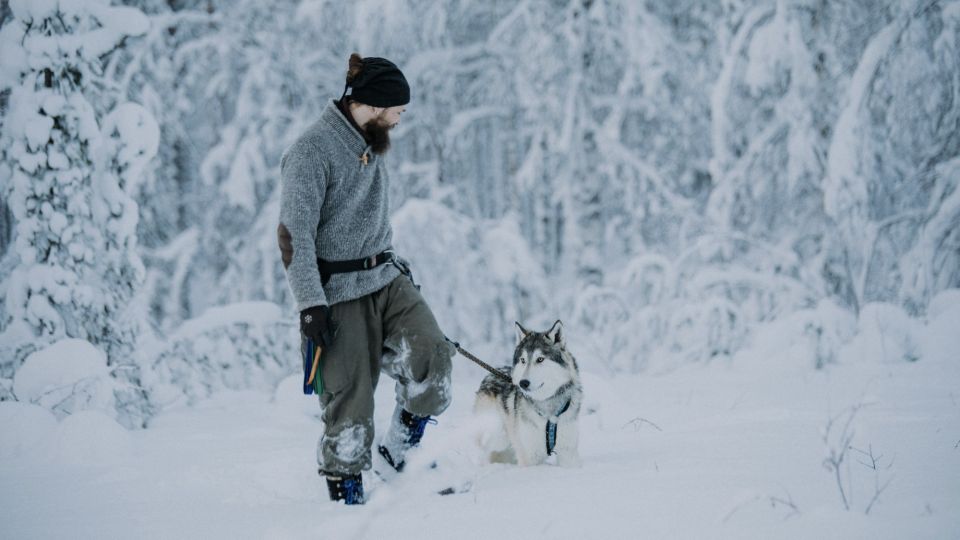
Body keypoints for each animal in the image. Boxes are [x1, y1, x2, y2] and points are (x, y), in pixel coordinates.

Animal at [474, 320, 584, 468]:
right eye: (523, 360)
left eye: (540, 359)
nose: (523, 383)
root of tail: (490, 374)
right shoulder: (531, 457)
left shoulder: (568, 453)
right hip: (499, 436)